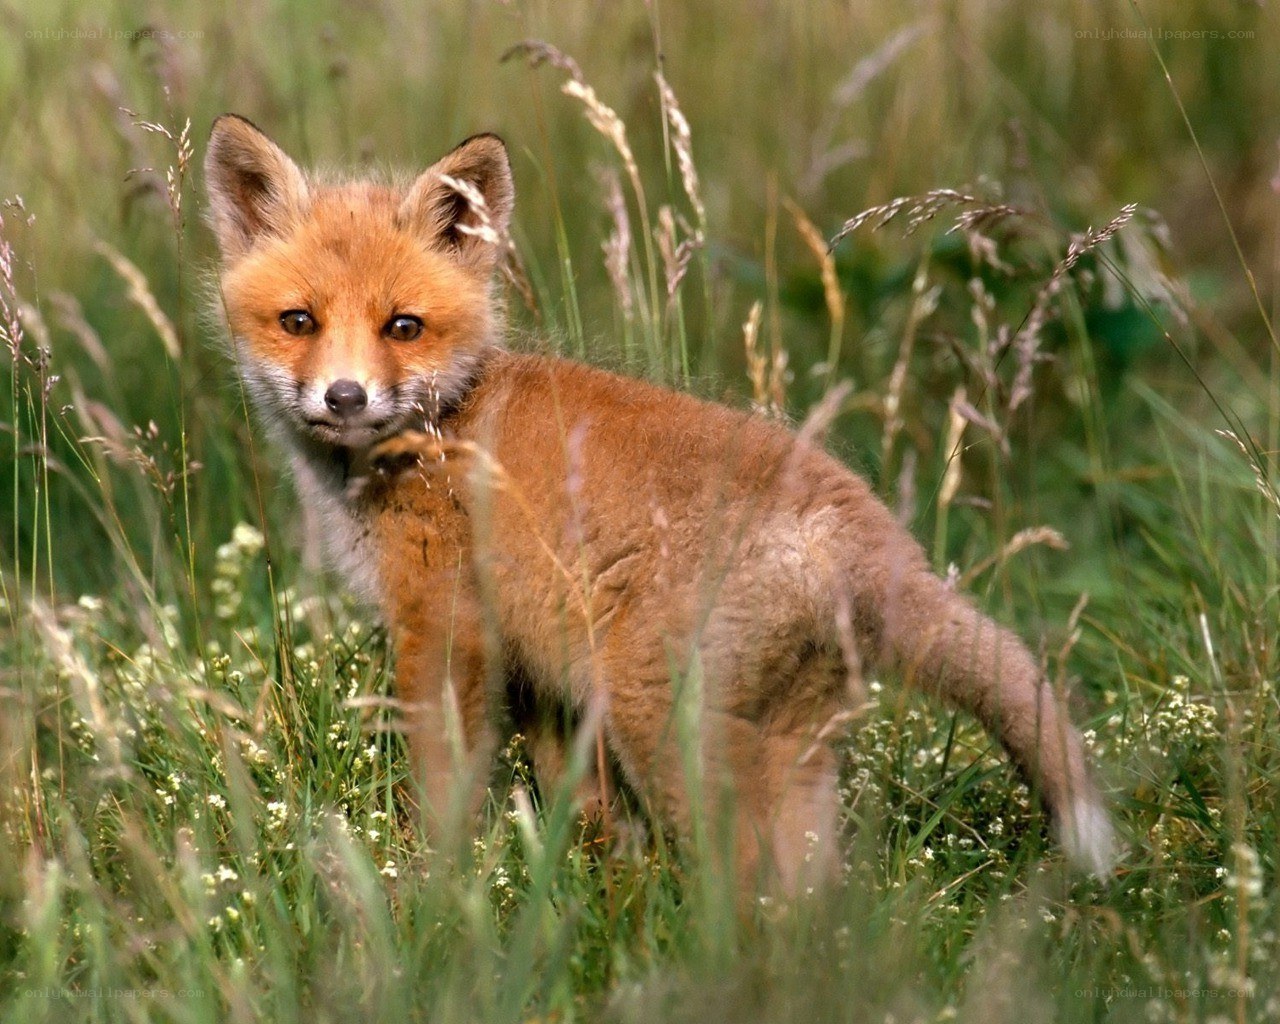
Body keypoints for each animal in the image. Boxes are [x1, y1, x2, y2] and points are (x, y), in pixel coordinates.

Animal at [204, 114, 1115, 894]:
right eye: (298, 320)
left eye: (403, 326)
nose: (344, 397)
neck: (443, 426)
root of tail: (862, 525)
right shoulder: (543, 675)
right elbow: (590, 816)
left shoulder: (446, 627)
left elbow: (443, 791)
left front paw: (428, 892)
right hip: (790, 746)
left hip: (664, 723)